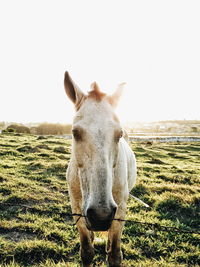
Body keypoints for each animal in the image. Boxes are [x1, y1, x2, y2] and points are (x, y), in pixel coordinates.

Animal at [64, 72, 138, 266]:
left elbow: (114, 255)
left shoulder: (120, 209)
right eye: (75, 133)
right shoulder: (76, 208)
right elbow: (86, 251)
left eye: (119, 134)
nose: (100, 216)